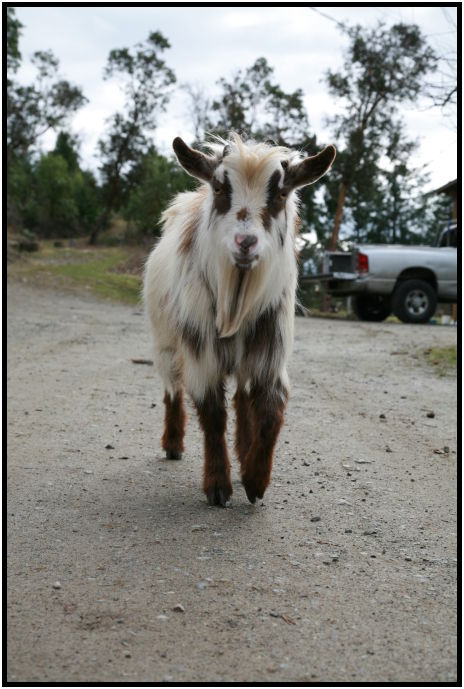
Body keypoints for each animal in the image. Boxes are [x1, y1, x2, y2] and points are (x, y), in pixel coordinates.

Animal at [143, 133, 335, 506]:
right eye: (220, 188)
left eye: (280, 193)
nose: (245, 242)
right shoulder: (201, 352)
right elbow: (213, 416)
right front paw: (218, 486)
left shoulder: (269, 350)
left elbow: (270, 414)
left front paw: (255, 479)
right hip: (164, 340)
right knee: (172, 388)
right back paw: (173, 444)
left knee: (243, 398)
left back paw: (244, 448)